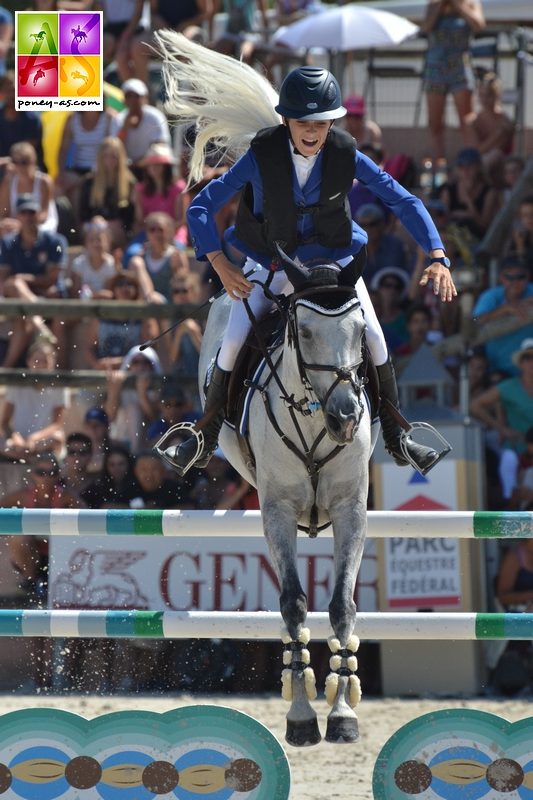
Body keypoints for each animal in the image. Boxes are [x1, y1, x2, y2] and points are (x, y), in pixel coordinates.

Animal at [197, 255, 372, 744]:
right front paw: (301, 716)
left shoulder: (351, 510)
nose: (345, 419)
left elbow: (342, 605)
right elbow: (294, 602)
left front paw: (343, 716)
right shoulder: (277, 510)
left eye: (359, 330)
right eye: (305, 332)